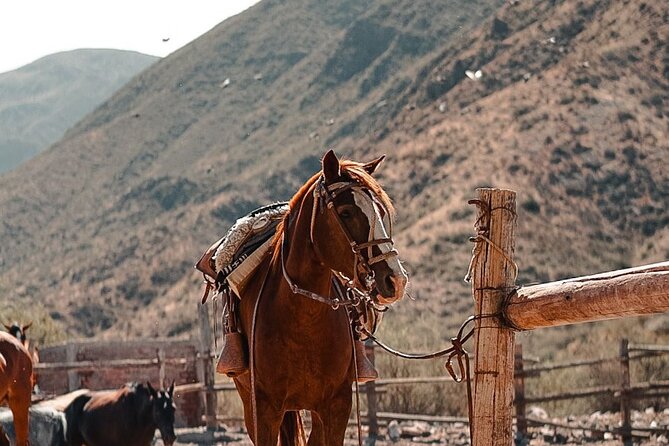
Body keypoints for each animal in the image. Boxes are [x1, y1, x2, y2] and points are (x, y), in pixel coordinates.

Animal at [232, 152, 410, 444]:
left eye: (380, 212)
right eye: (346, 212)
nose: (396, 281)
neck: (303, 320)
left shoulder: (336, 405)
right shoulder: (264, 410)